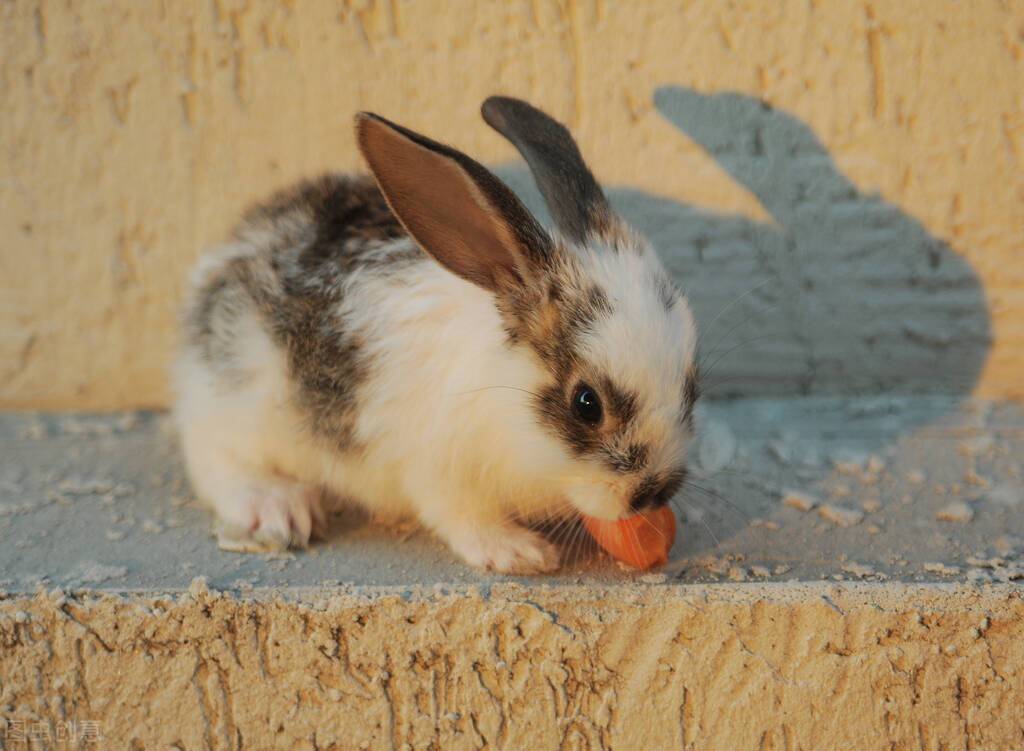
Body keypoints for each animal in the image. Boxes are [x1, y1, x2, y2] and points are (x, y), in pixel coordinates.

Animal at [176, 95, 700, 573]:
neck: (503, 398)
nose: (652, 494)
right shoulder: (439, 472)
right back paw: (276, 508)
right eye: (587, 404)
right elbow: (462, 518)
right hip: (239, 394)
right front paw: (519, 552)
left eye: (691, 387)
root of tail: (225, 253)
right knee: (211, 454)